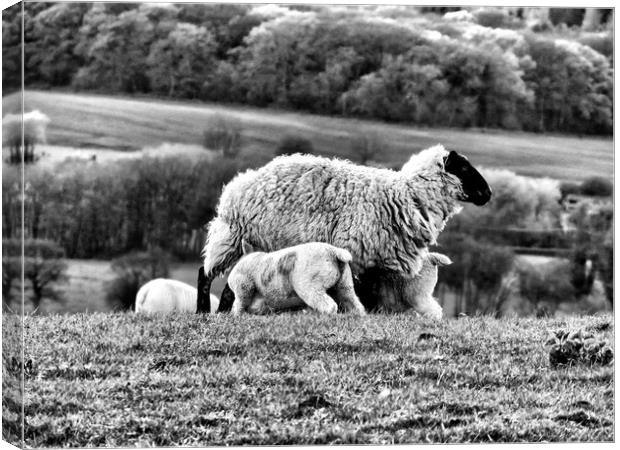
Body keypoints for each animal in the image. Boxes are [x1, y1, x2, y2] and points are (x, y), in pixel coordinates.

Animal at [225, 241, 366, 314]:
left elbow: (238, 304)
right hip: (345, 284)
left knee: (329, 305)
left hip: (309, 285)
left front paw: (235, 316)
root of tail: (334, 251)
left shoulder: (243, 286)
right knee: (354, 303)